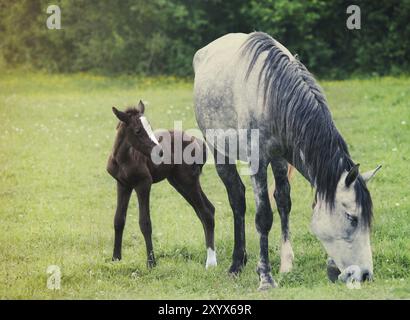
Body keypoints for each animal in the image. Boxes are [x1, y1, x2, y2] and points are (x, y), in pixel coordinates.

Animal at [105, 101, 216, 268]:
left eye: (150, 127)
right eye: (138, 131)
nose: (160, 153)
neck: (124, 159)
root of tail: (198, 142)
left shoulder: (143, 184)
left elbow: (145, 223)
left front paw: (151, 263)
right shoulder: (123, 185)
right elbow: (118, 220)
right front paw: (115, 259)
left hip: (188, 180)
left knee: (206, 213)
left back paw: (211, 262)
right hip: (178, 182)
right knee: (207, 210)